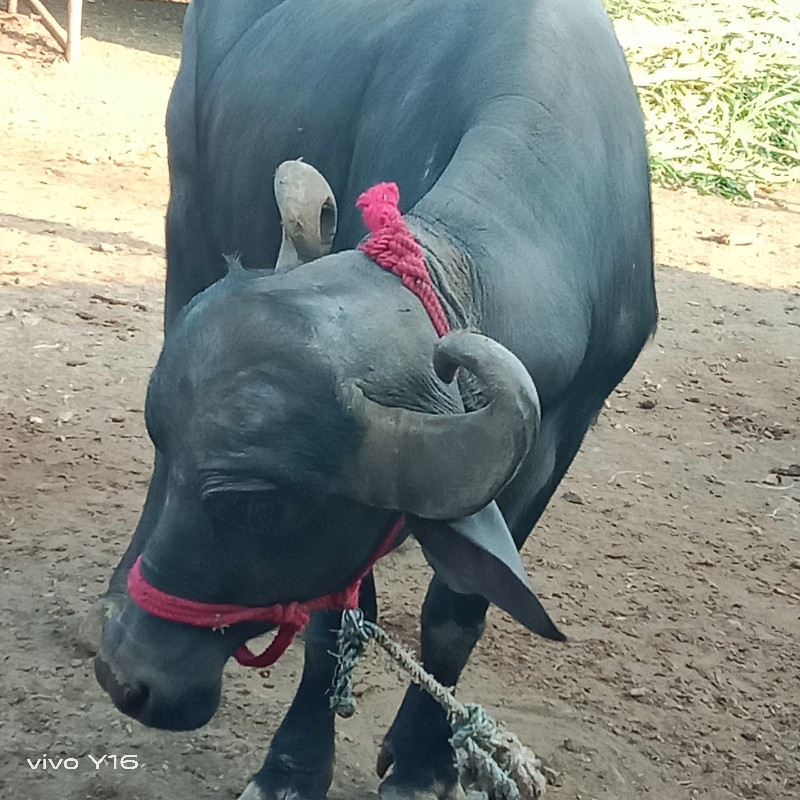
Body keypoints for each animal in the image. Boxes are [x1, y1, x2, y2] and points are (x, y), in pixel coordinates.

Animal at [94, 0, 656, 796]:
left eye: (257, 507)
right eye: (159, 439)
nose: (124, 674)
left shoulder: (561, 440)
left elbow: (456, 612)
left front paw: (425, 760)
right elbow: (338, 619)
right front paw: (294, 765)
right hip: (186, 227)